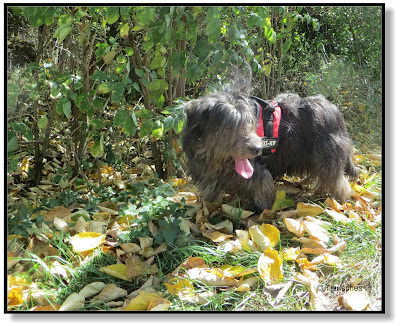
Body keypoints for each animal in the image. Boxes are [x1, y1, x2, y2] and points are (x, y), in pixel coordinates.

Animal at [183, 77, 358, 210]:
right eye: (232, 128)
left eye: (249, 123)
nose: (258, 149)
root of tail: (335, 110)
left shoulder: (256, 172)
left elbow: (262, 185)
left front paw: (261, 209)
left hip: (328, 153)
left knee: (336, 179)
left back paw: (336, 199)